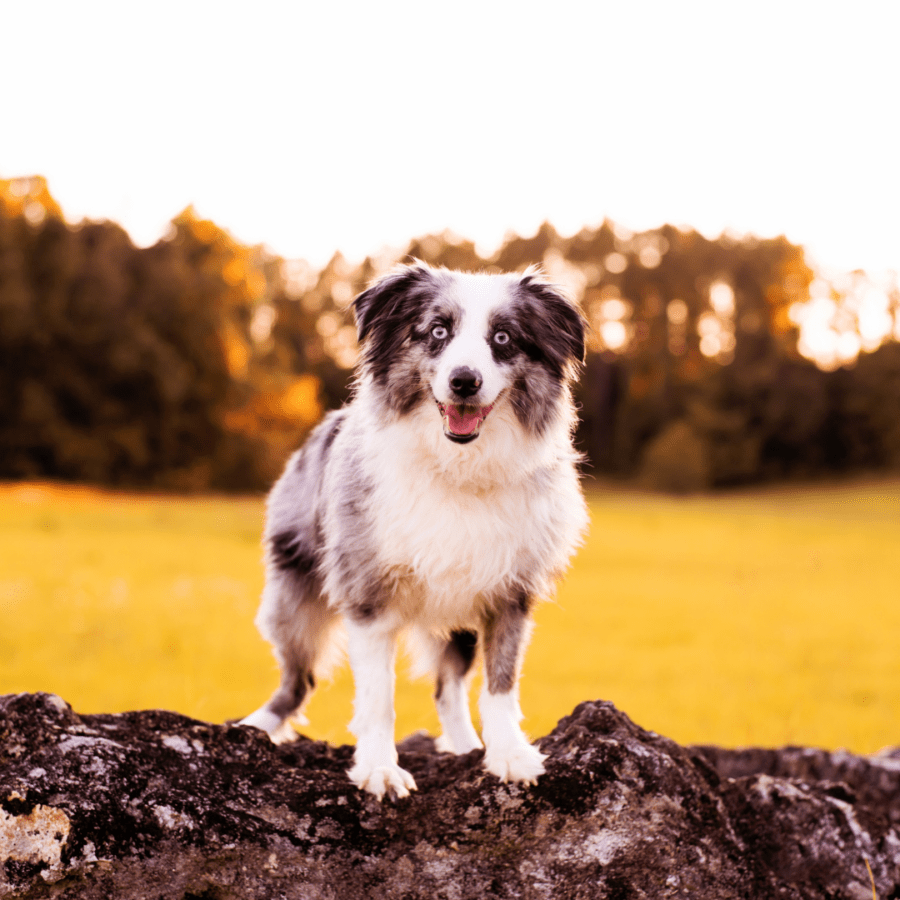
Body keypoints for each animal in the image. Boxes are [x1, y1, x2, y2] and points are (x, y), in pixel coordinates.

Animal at [241, 262, 592, 800]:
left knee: (448, 687)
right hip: (292, 598)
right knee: (297, 680)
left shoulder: (510, 592)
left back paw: (465, 745)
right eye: (437, 332)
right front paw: (380, 769)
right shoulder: (367, 595)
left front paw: (508, 754)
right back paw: (256, 726)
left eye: (504, 338)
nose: (464, 381)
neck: (458, 466)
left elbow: (501, 684)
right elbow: (378, 698)